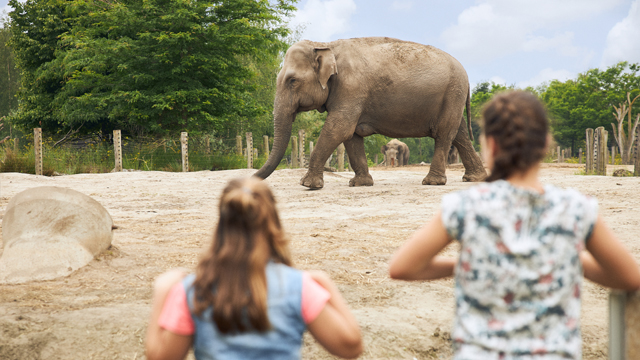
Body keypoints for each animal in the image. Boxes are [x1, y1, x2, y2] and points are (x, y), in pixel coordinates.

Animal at [254, 36, 484, 188]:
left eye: (292, 81)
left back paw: (432, 182)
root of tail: (466, 76)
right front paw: (360, 184)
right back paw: (474, 178)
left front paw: (308, 185)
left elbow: (339, 128)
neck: (326, 45)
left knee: (444, 134)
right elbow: (351, 135)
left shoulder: (351, 88)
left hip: (452, 94)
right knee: (460, 134)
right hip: (453, 97)